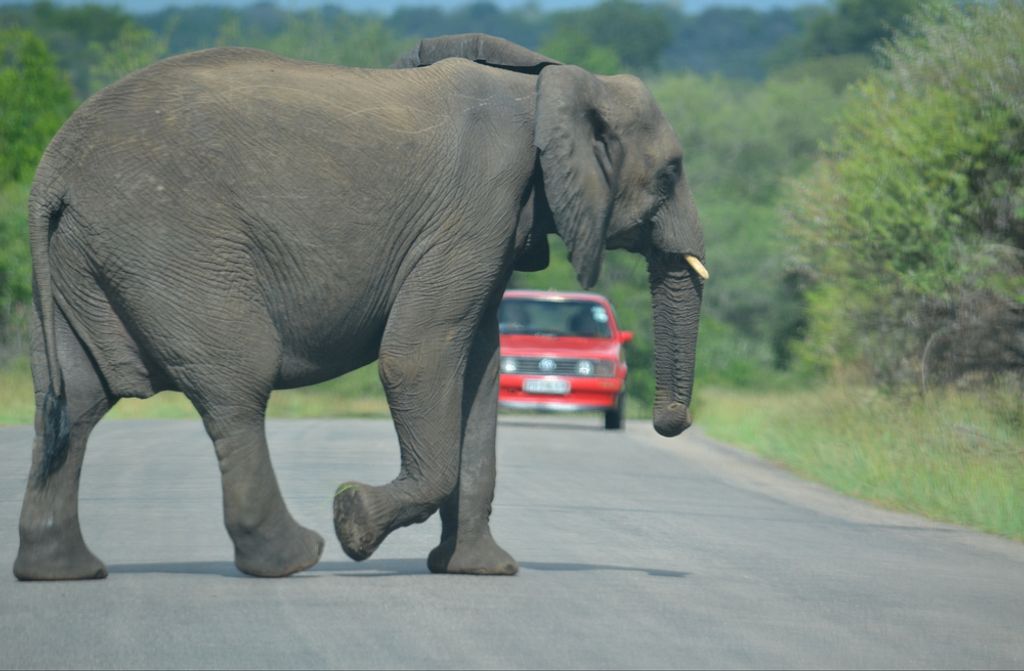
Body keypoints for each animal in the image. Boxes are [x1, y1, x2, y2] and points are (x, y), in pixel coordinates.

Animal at [13, 33, 707, 581]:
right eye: (670, 174)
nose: (671, 424)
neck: (550, 84)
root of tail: (52, 170)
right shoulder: (477, 207)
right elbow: (415, 358)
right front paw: (352, 521)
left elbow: (480, 376)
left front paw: (481, 571)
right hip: (170, 244)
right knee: (236, 381)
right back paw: (294, 558)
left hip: (89, 257)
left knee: (74, 398)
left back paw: (63, 572)